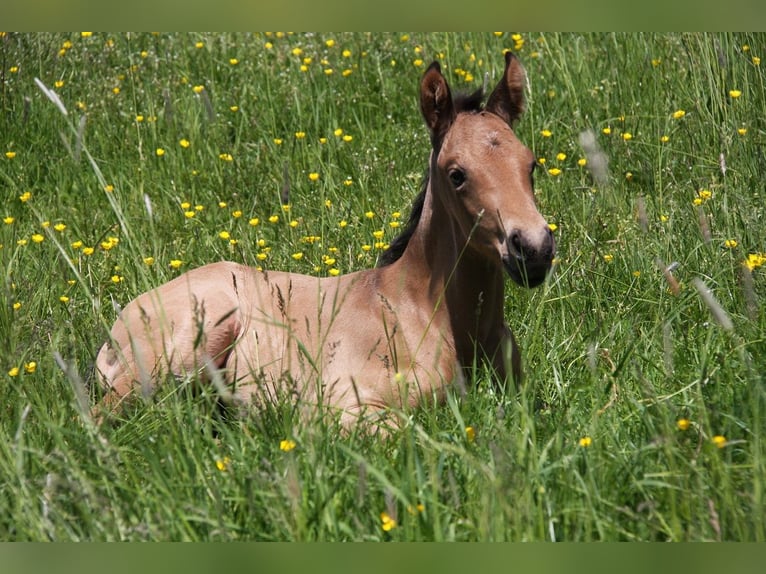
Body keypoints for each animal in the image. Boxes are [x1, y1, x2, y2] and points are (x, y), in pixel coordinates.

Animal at [94, 54, 560, 430]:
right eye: (456, 174)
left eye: (531, 164)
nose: (533, 249)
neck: (424, 316)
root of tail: (118, 327)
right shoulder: (338, 406)